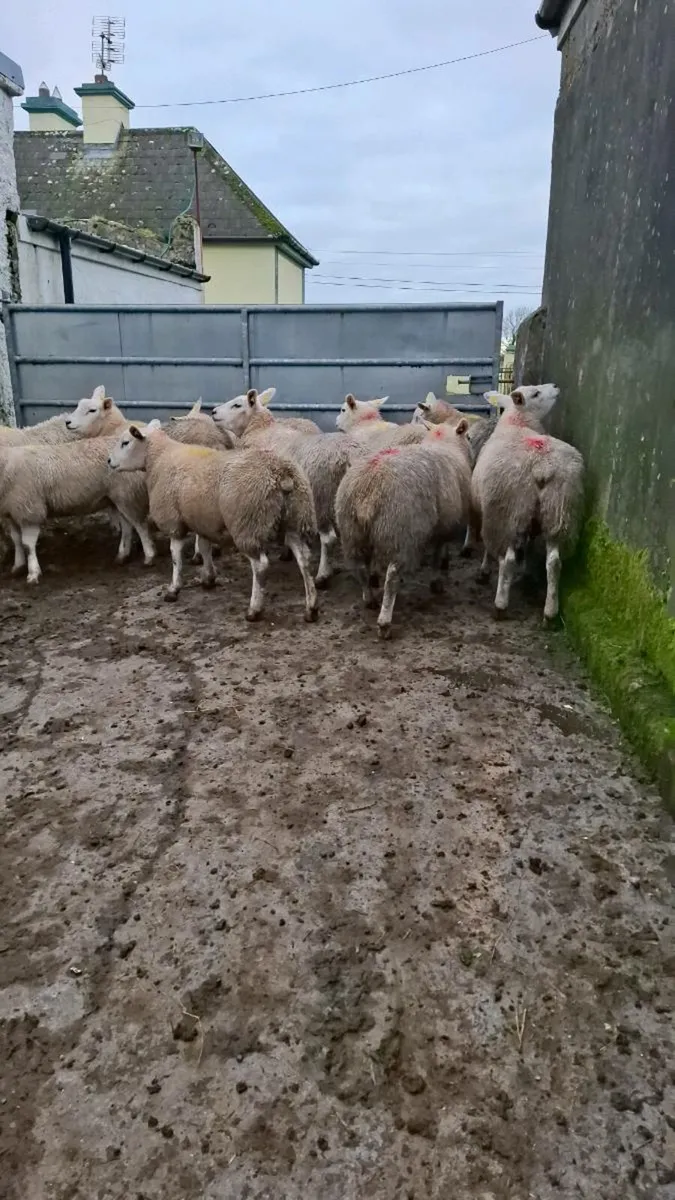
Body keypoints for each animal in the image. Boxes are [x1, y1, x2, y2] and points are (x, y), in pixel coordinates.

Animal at [0, 436, 155, 583]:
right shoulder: (12, 513)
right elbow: (16, 540)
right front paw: (18, 566)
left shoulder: (29, 510)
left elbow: (28, 545)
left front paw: (33, 573)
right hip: (119, 497)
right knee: (127, 525)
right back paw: (122, 556)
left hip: (127, 493)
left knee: (139, 524)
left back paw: (149, 556)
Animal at [107, 421, 319, 622]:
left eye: (125, 442)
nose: (109, 461)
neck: (159, 458)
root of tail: (281, 474)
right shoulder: (202, 520)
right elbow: (204, 547)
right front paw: (208, 578)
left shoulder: (173, 520)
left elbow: (175, 555)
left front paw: (174, 588)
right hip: (295, 519)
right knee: (304, 559)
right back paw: (311, 608)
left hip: (247, 523)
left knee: (260, 566)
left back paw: (254, 609)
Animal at [213, 387, 363, 588]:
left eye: (237, 405)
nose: (213, 411)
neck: (261, 429)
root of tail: (350, 455)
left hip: (321, 496)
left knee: (328, 538)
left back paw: (323, 575)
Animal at [335, 418, 473, 638]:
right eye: (469, 437)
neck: (444, 445)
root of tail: (368, 490)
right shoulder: (443, 528)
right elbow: (437, 557)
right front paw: (437, 583)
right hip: (400, 533)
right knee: (391, 577)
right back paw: (384, 622)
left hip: (352, 532)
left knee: (360, 568)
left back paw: (369, 598)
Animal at [471, 384, 584, 621]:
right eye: (536, 393)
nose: (556, 387)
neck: (518, 423)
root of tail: (542, 466)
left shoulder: (489, 511)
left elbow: (488, 548)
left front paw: (484, 571)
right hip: (560, 512)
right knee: (554, 561)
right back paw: (550, 613)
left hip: (509, 512)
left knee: (507, 559)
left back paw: (500, 605)